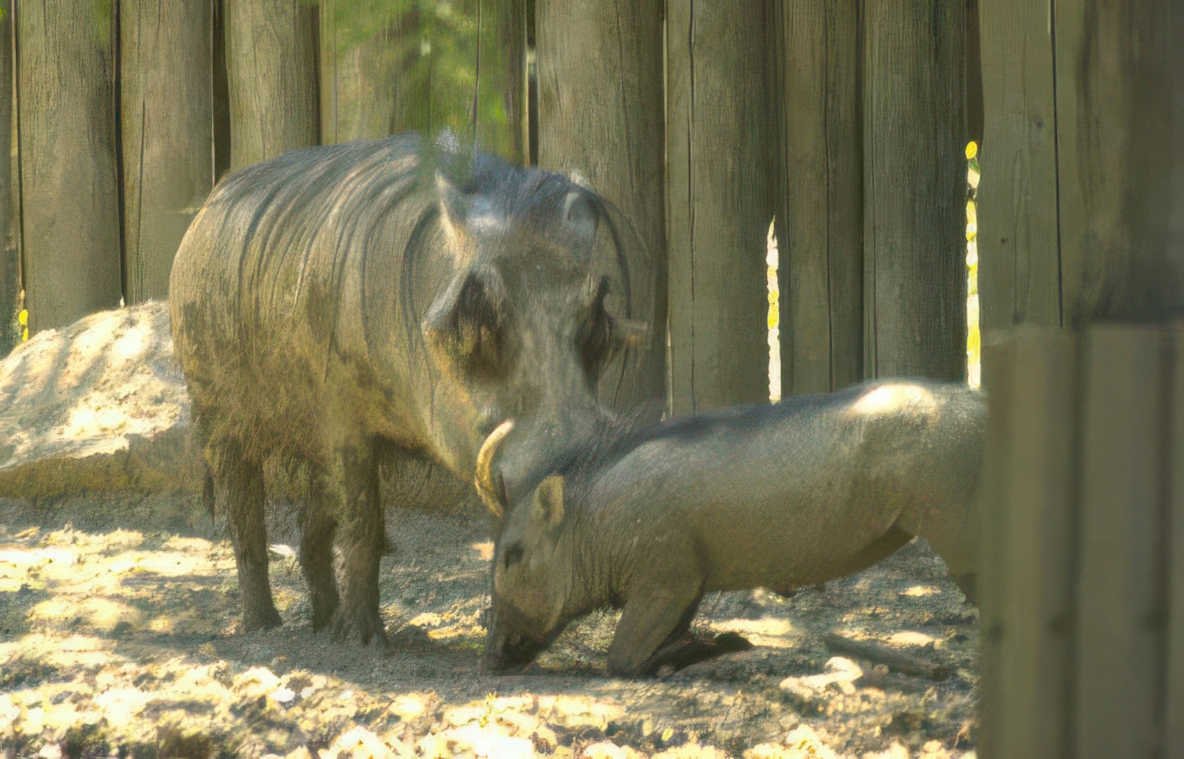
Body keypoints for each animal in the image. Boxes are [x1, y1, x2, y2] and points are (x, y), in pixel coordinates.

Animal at [169, 133, 648, 644]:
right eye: (475, 308)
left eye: (597, 307)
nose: (570, 477)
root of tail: (205, 211)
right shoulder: (347, 423)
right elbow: (363, 526)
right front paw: (365, 640)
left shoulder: (480, 460)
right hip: (217, 414)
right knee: (246, 517)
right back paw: (263, 624)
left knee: (310, 525)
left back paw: (324, 623)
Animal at [481, 380, 985, 676]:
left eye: (512, 554)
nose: (491, 658)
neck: (593, 523)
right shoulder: (689, 585)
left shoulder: (665, 580)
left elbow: (621, 660)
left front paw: (724, 643)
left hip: (961, 535)